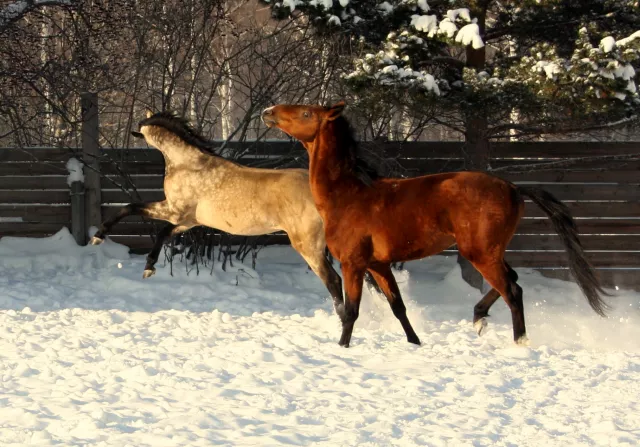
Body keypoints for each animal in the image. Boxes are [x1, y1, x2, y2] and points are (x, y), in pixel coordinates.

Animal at [90, 111, 349, 312]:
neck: (188, 164)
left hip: (307, 244)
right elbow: (163, 233)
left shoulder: (174, 211)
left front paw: (98, 237)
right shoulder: (187, 221)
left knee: (334, 280)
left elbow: (130, 208)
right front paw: (149, 267)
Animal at [261, 101, 608, 348]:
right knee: (510, 280)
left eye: (306, 112)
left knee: (512, 289)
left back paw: (519, 342)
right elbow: (398, 307)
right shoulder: (379, 265)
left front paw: (342, 347)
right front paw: (415, 343)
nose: (268, 112)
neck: (348, 194)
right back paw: (479, 319)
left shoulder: (353, 263)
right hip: (489, 251)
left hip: (480, 253)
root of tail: (513, 188)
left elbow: (352, 311)